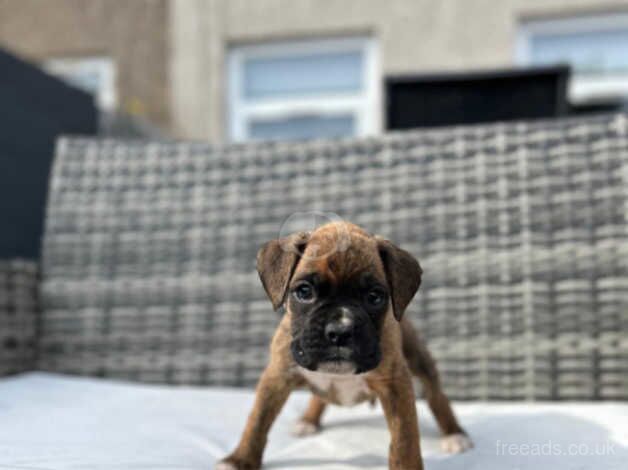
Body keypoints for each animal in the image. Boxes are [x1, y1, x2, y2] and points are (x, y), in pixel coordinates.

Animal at [220, 221, 472, 470]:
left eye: (374, 297)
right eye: (304, 291)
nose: (340, 331)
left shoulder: (396, 386)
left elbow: (405, 440)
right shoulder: (276, 377)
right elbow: (257, 422)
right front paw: (239, 460)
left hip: (420, 360)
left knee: (436, 396)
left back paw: (454, 433)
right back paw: (308, 420)